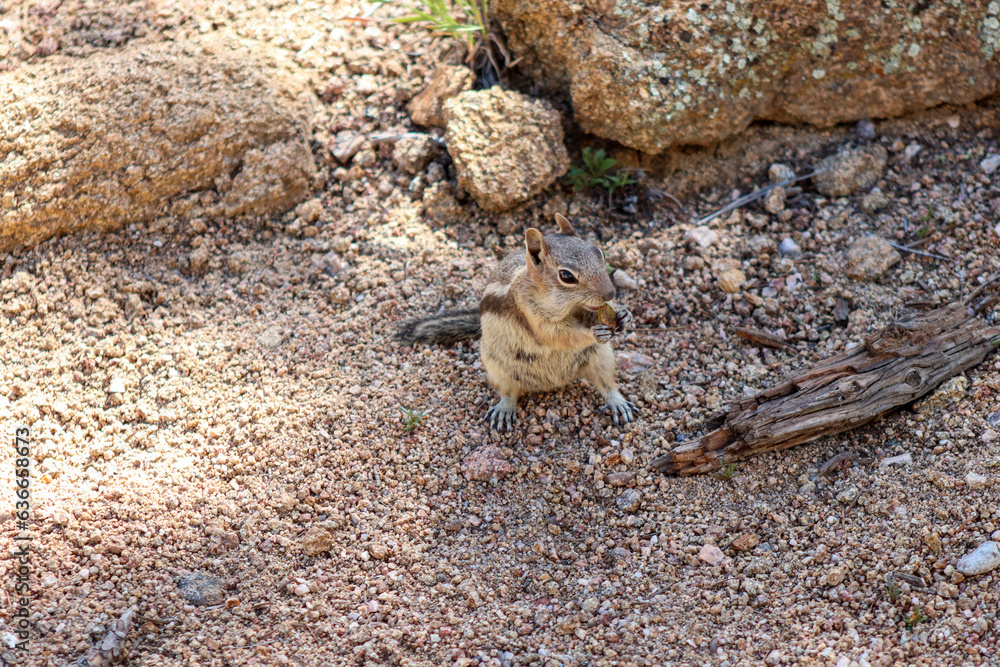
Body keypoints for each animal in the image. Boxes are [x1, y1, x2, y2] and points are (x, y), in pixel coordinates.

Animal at [397, 213, 637, 432]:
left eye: (599, 253)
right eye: (567, 276)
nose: (610, 293)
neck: (566, 305)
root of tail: (554, 383)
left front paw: (624, 315)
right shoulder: (530, 311)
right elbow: (557, 334)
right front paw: (594, 333)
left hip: (601, 357)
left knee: (606, 384)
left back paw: (618, 403)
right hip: (498, 367)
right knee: (508, 392)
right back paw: (504, 409)